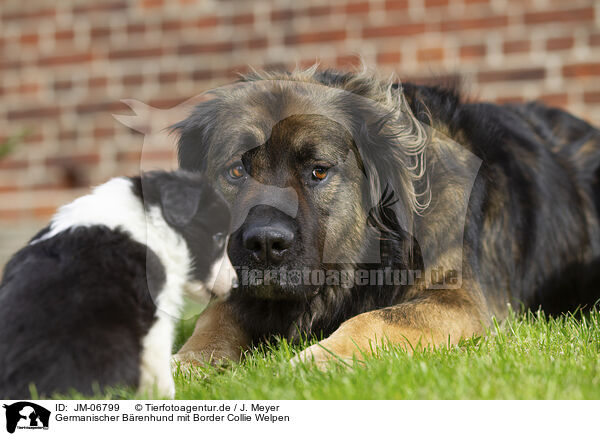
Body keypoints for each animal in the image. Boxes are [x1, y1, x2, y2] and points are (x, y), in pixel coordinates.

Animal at [170, 68, 600, 368]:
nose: (264, 243)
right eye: (236, 171)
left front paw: (316, 360)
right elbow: (214, 318)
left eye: (318, 171)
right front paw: (183, 365)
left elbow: (377, 319)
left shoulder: (461, 299)